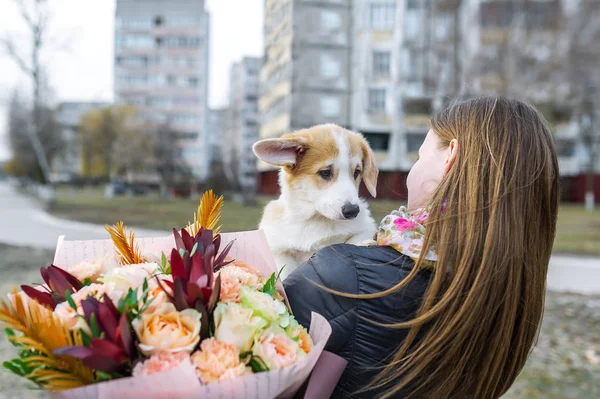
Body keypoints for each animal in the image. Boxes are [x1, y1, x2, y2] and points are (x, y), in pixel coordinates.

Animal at [253, 124, 380, 278]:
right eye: (325, 172)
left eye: (356, 172)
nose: (352, 211)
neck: (316, 220)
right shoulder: (278, 250)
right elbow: (284, 270)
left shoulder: (364, 229)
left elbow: (354, 241)